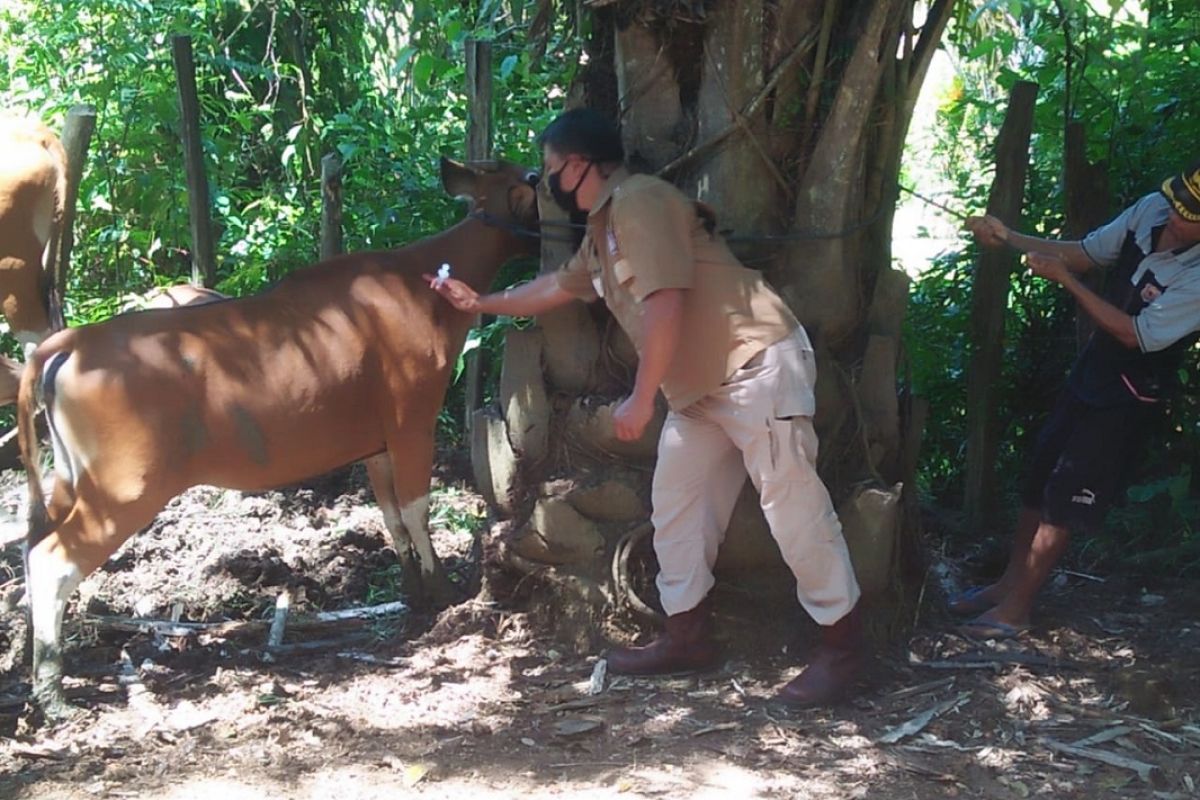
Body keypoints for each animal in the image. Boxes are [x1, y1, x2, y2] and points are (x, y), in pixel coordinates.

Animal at [18, 158, 540, 719]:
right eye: (533, 180)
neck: (425, 285)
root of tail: (70, 341)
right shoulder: (412, 421)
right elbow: (417, 509)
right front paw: (443, 591)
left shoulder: (376, 444)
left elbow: (392, 517)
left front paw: (415, 593)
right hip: (125, 487)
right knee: (52, 561)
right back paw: (52, 693)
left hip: (71, 478)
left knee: (33, 546)